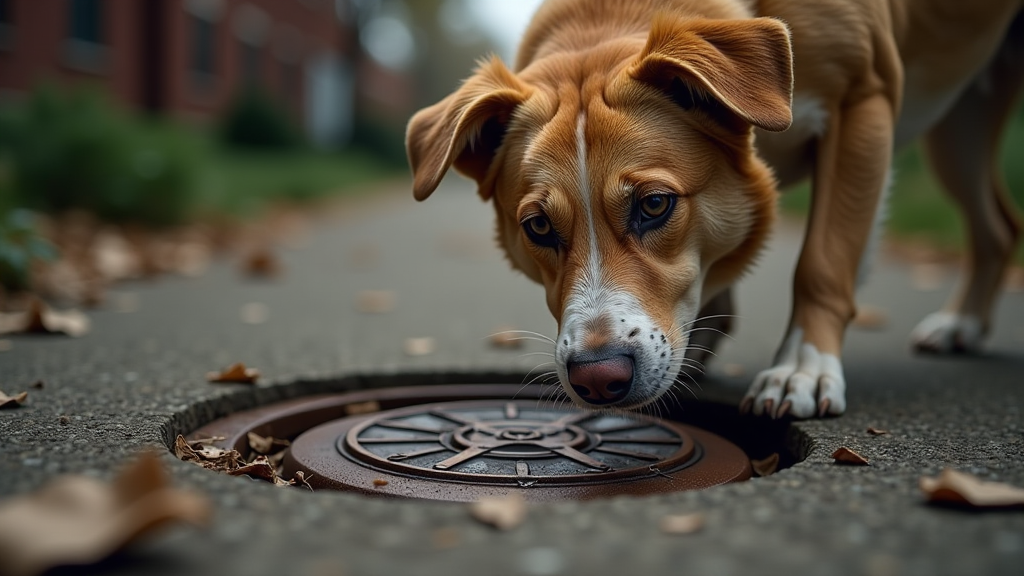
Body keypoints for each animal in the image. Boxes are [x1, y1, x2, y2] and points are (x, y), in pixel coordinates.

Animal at [403, 2, 1019, 420]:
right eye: (538, 226)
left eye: (654, 205)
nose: (598, 380)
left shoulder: (863, 99)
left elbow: (823, 262)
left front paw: (801, 367)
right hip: (958, 130)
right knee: (998, 227)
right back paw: (963, 324)